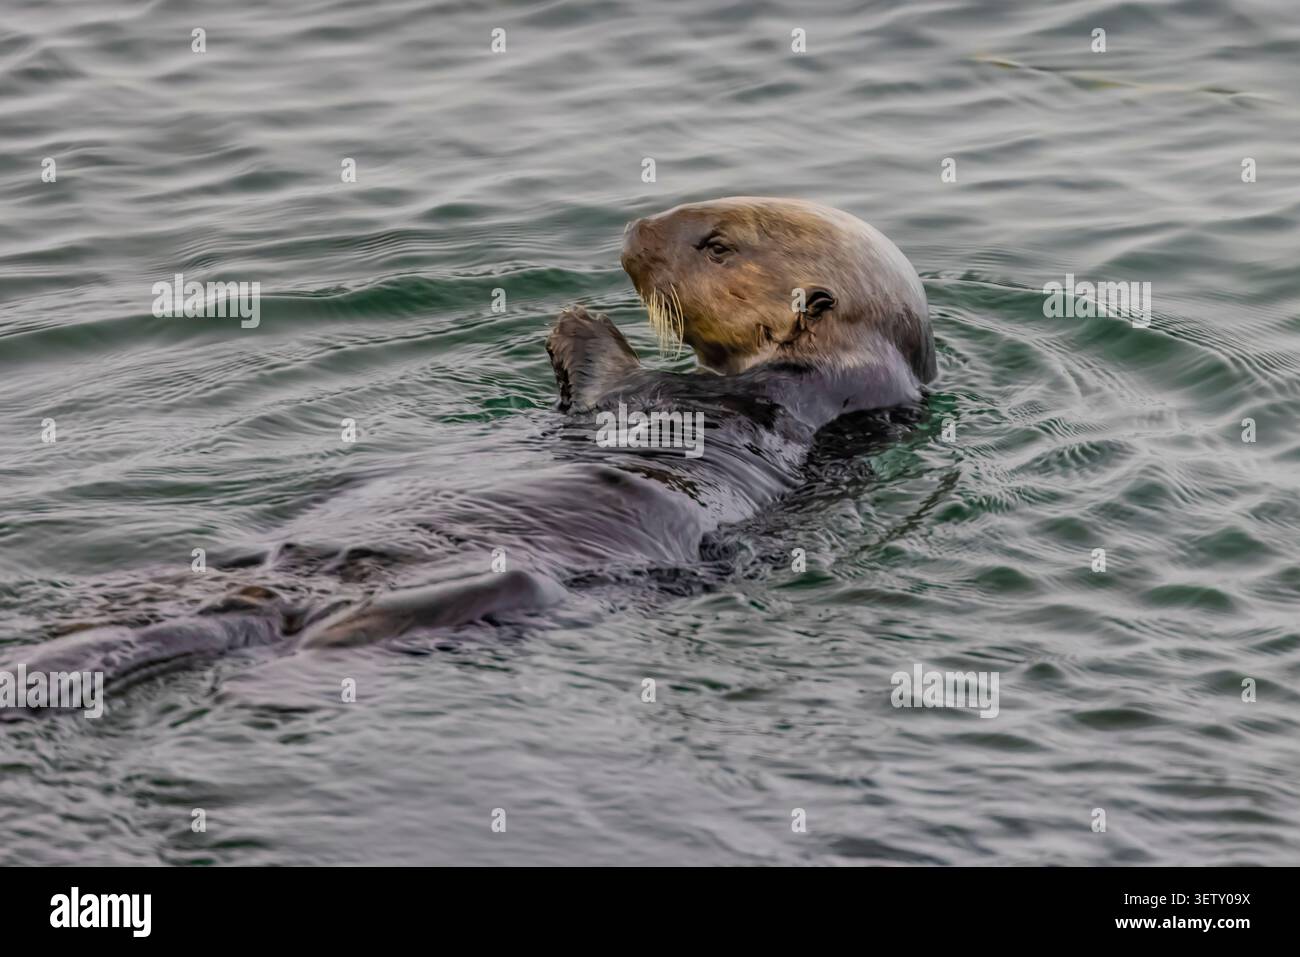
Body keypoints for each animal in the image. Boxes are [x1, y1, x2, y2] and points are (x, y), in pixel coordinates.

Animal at [4, 198, 936, 713]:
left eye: (717, 244)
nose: (634, 229)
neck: (848, 377)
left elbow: (621, 388)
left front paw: (576, 320)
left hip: (481, 593)